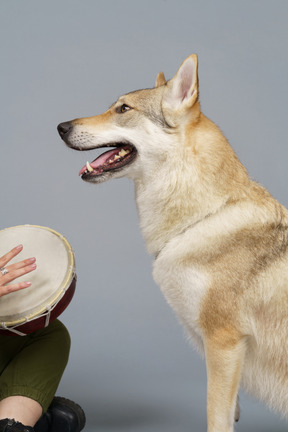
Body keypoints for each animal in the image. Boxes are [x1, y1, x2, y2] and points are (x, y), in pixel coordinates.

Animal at [58, 54, 288, 432]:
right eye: (114, 106)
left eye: (123, 108)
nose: (60, 126)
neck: (205, 216)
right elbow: (229, 413)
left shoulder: (223, 343)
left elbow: (215, 415)